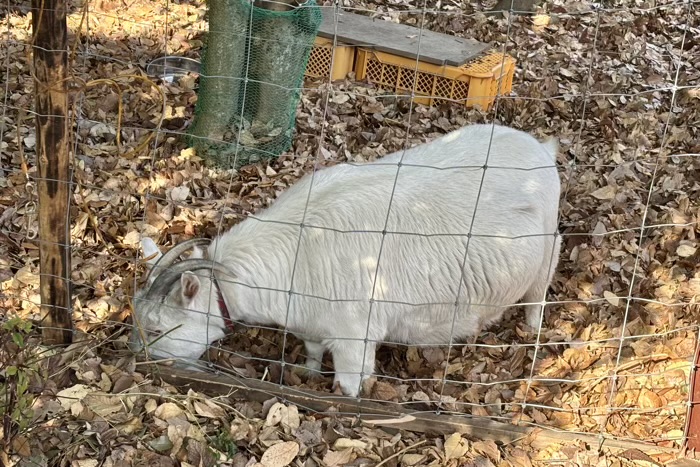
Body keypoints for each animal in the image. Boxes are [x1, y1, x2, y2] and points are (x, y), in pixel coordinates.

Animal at [129, 124, 560, 398]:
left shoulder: (355, 336)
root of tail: (542, 148)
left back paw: (532, 328)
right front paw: (306, 372)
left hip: (548, 246)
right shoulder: (311, 322)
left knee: (539, 290)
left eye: (157, 328)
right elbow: (312, 349)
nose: (135, 360)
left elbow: (350, 384)